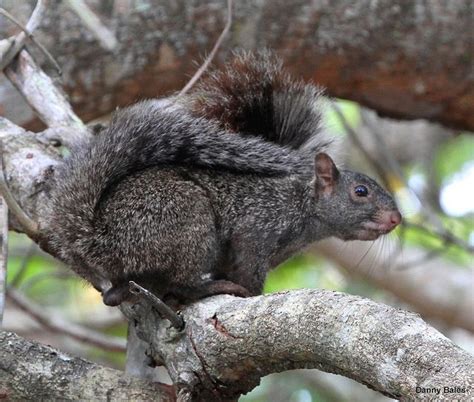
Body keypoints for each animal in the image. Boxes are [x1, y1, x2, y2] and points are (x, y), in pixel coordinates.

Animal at [39, 51, 400, 306]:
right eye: (361, 191)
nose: (396, 218)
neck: (302, 208)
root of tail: (101, 240)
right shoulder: (257, 227)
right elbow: (250, 270)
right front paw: (251, 293)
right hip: (188, 221)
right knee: (182, 283)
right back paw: (208, 287)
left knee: (118, 293)